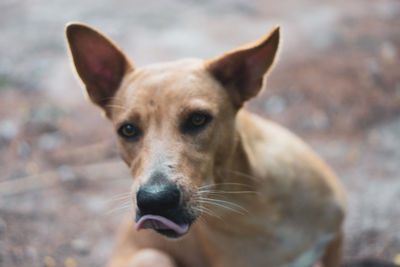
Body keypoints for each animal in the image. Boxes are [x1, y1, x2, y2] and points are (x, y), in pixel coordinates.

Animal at [64, 23, 346, 267]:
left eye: (198, 119)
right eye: (128, 129)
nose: (155, 201)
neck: (256, 201)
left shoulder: (335, 240)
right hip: (155, 257)